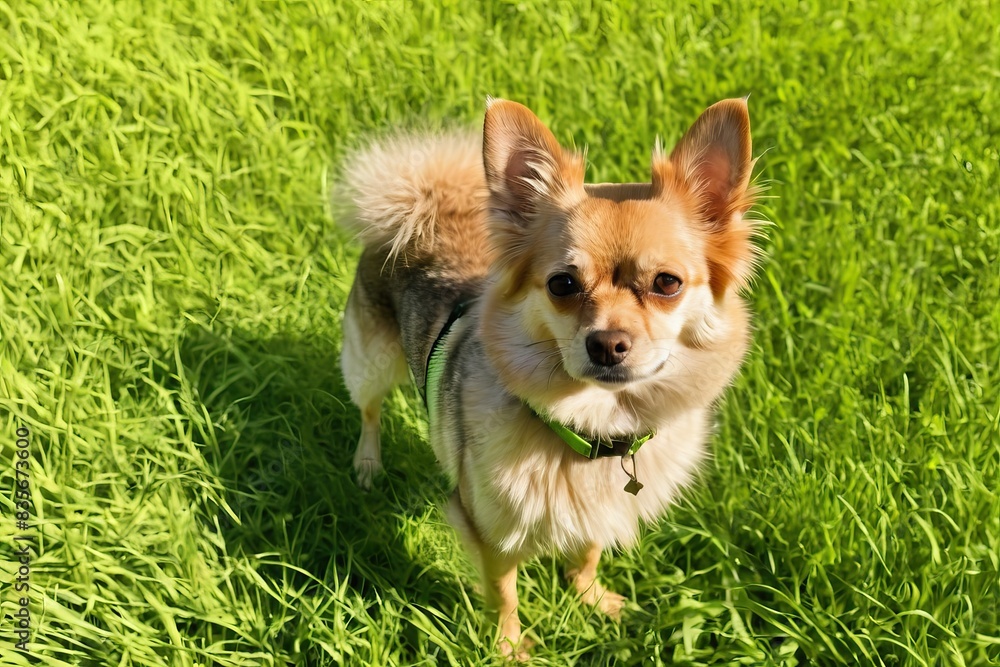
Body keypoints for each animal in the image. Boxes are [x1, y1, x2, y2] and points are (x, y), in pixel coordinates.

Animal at [337, 97, 760, 658]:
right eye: (562, 284)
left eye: (667, 283)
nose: (606, 343)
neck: (592, 428)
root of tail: (421, 206)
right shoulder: (490, 532)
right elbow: (504, 593)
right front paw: (507, 647)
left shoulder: (601, 508)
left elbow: (588, 552)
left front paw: (591, 597)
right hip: (371, 362)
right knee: (369, 412)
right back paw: (368, 463)